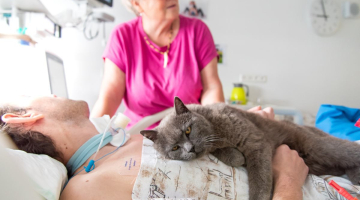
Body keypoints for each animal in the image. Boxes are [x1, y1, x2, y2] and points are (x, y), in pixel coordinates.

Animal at [140, 97, 360, 200]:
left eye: (187, 130)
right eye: (175, 147)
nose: (190, 148)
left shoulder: (256, 144)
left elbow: (260, 182)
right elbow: (232, 156)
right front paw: (236, 156)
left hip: (315, 145)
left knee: (346, 149)